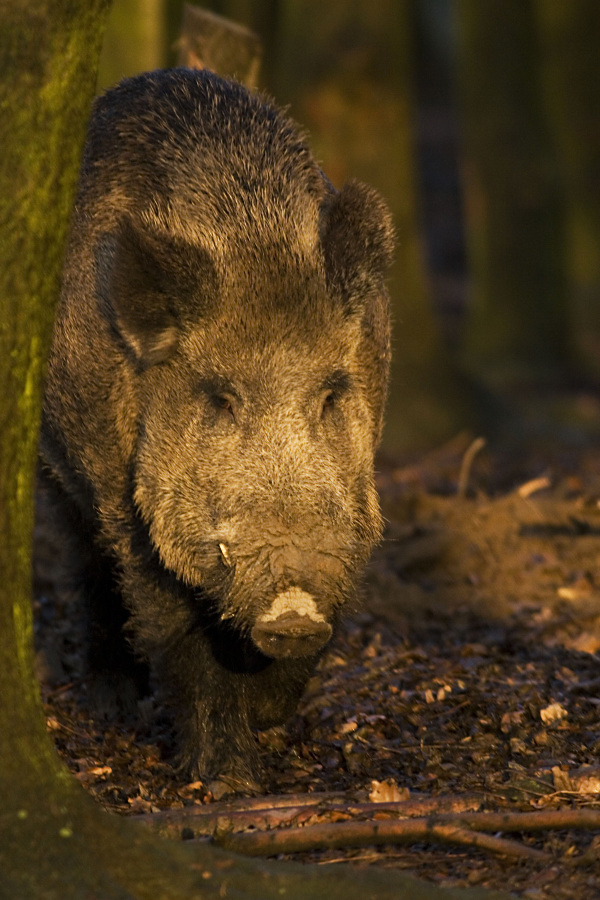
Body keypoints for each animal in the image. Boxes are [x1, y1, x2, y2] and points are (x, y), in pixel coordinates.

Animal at [39, 67, 394, 791]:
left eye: (331, 394)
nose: (294, 610)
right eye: (222, 398)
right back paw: (112, 701)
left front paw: (266, 719)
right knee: (85, 561)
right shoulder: (124, 499)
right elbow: (173, 626)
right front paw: (228, 783)